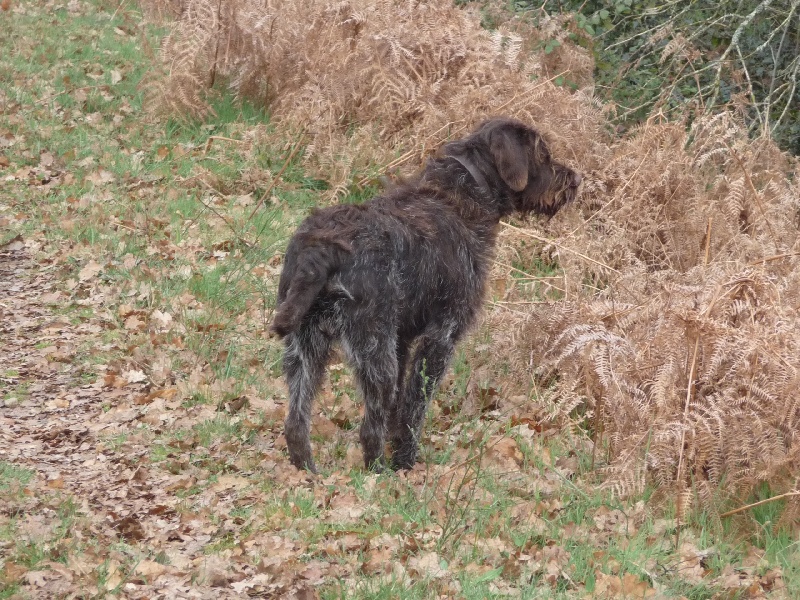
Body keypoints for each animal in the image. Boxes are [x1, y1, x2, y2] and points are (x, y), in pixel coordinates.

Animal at [272, 117, 580, 474]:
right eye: (543, 155)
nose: (575, 180)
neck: (465, 191)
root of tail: (322, 249)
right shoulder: (441, 338)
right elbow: (414, 406)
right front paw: (405, 461)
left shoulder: (403, 339)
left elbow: (399, 406)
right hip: (374, 353)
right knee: (368, 428)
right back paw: (379, 474)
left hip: (304, 348)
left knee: (296, 422)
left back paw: (307, 472)